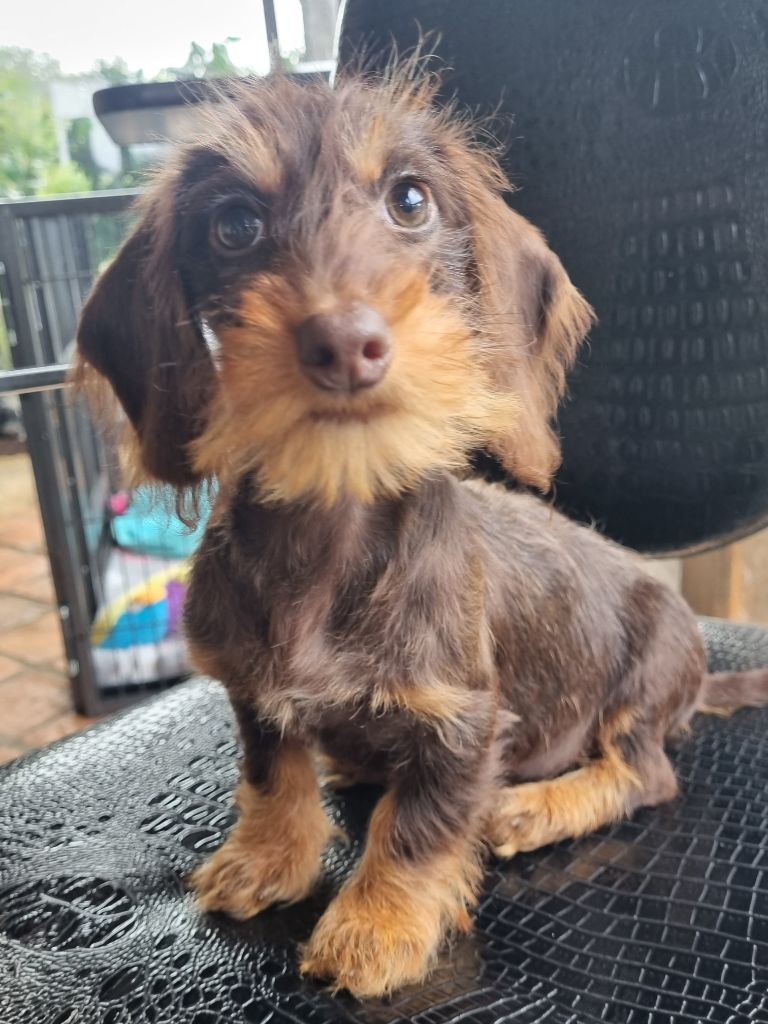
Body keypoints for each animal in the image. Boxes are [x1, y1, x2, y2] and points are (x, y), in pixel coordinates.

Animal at [75, 70, 768, 991]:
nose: (344, 343)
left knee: (644, 773)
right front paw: (265, 857)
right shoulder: (252, 693)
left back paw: (537, 807)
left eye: (410, 200)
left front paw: (375, 927)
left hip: (647, 681)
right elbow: (272, 775)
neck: (332, 536)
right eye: (234, 225)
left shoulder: (462, 723)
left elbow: (413, 829)